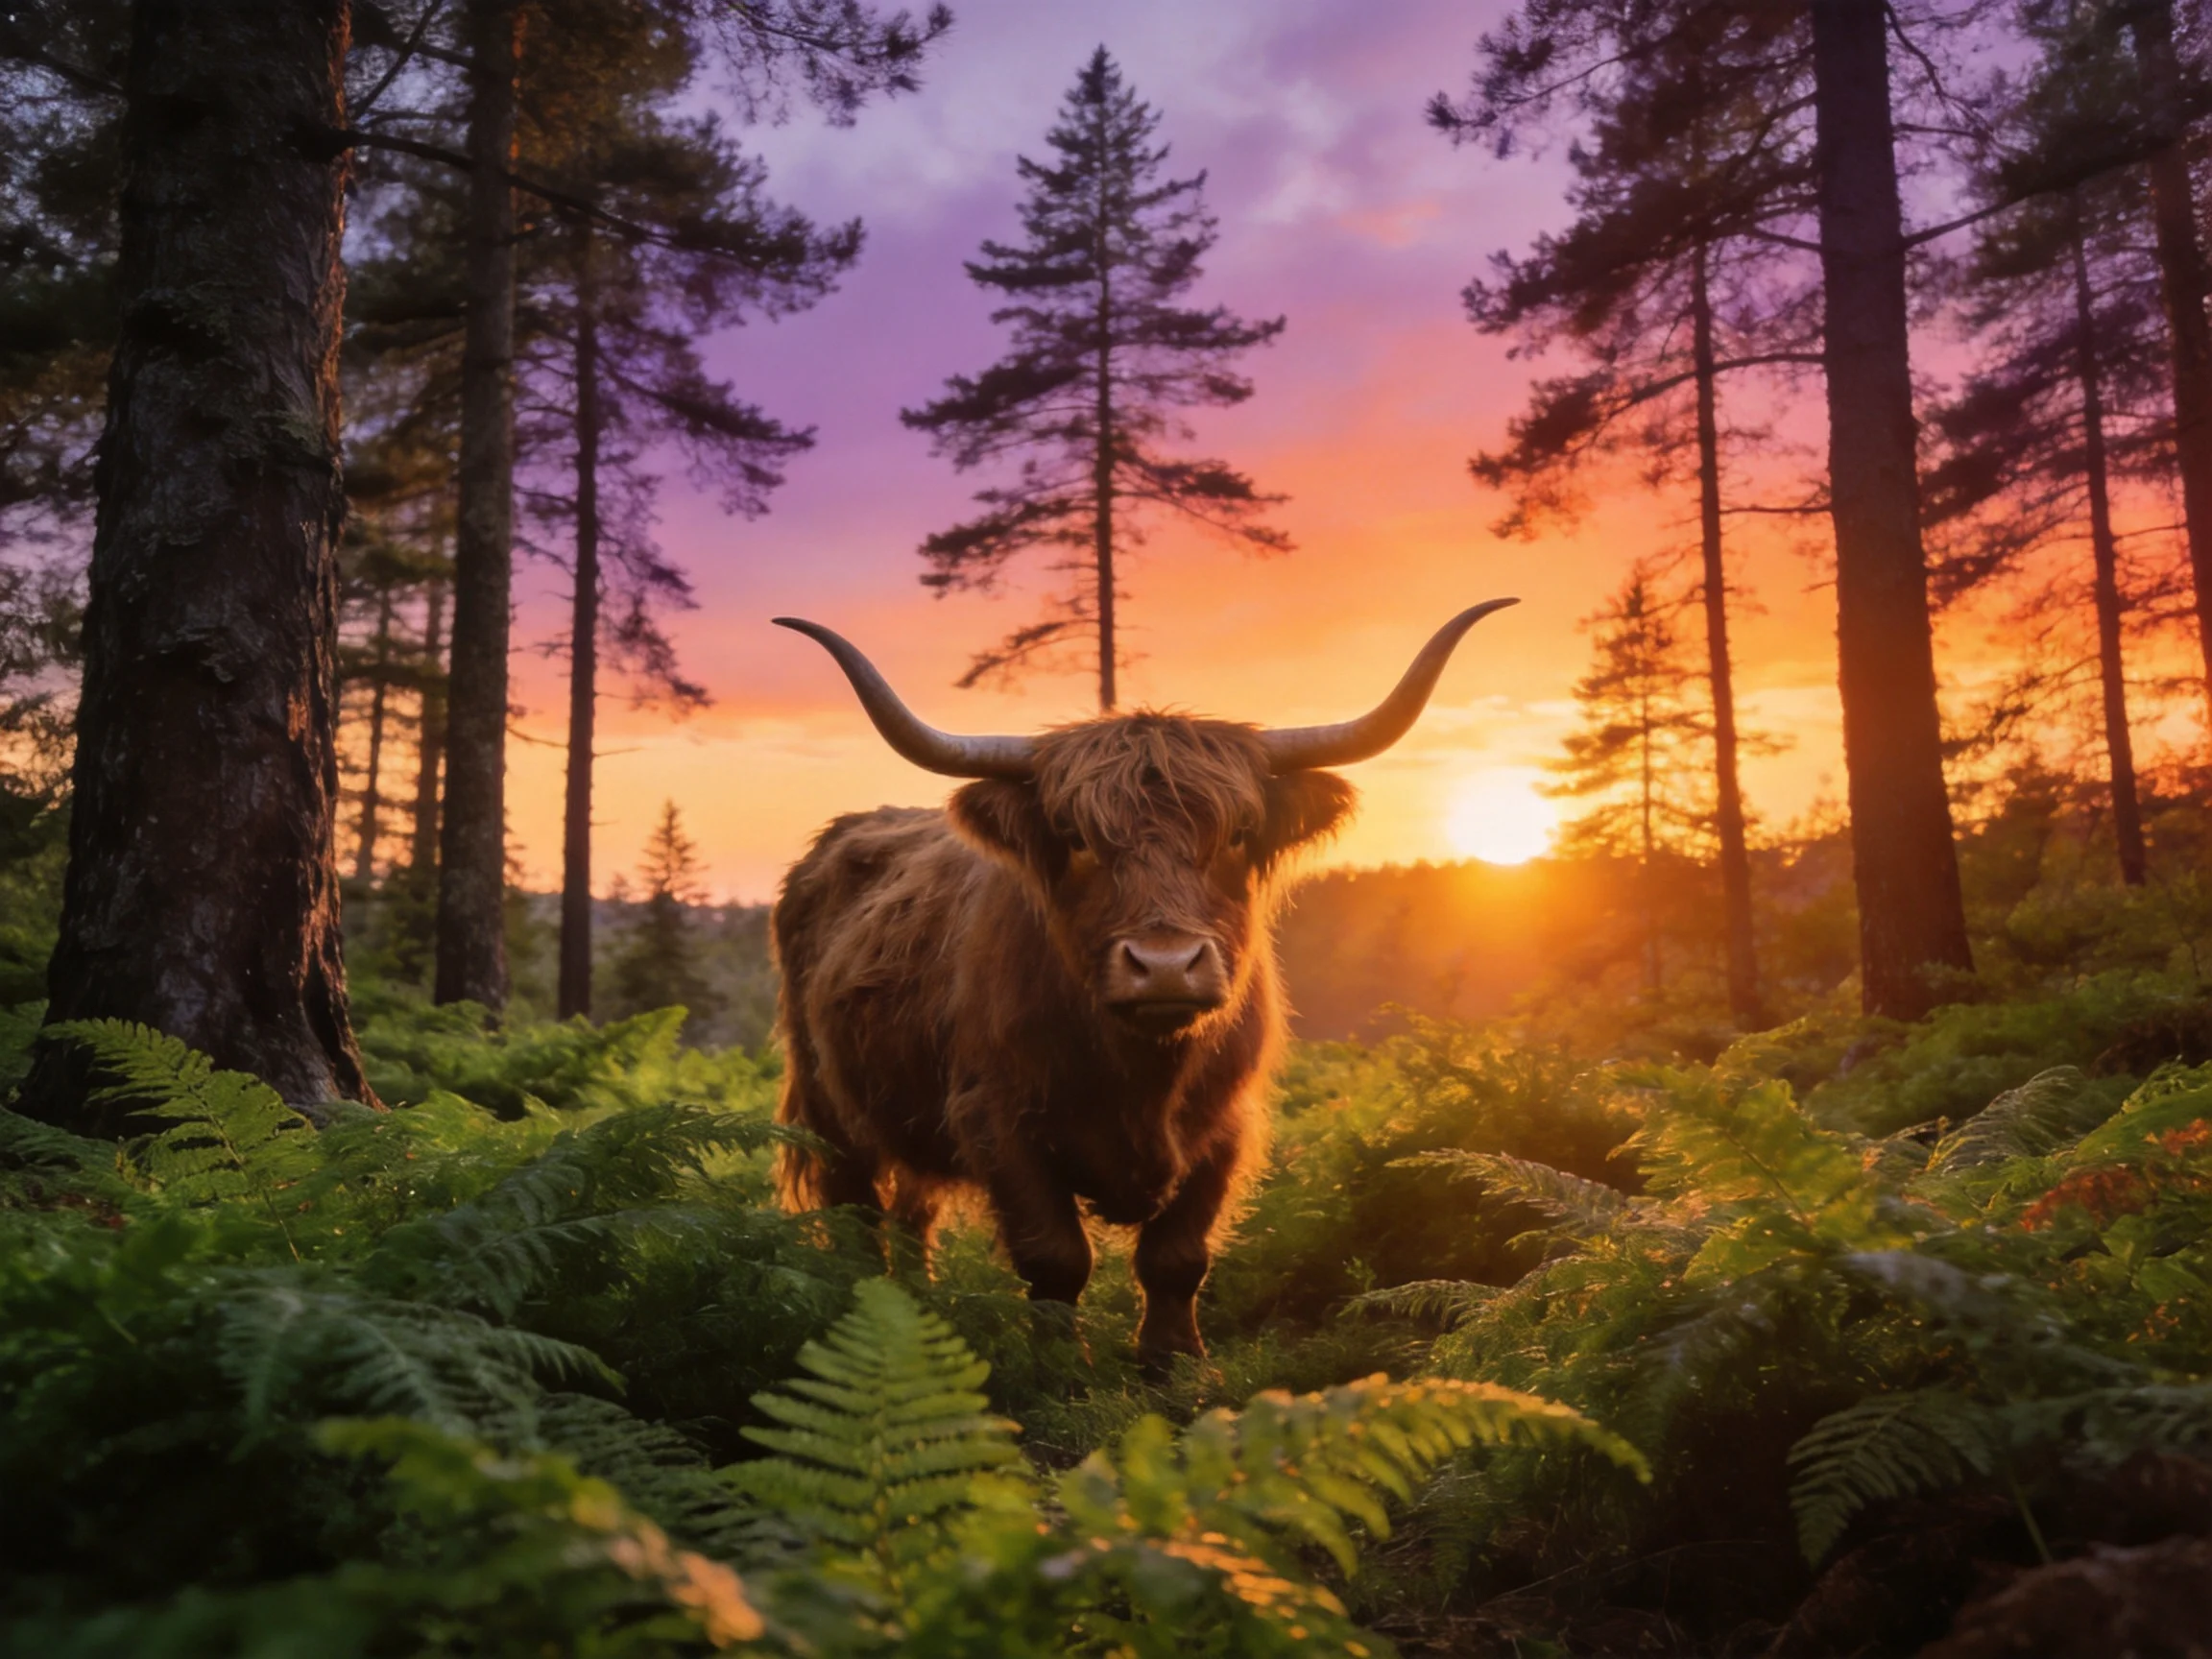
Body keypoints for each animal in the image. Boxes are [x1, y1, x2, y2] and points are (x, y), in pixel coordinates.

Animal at [770, 601, 1516, 1370]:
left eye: (1238, 833)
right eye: (1075, 837)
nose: (1164, 964)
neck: (1143, 1076)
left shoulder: (1226, 1125)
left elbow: (1178, 1257)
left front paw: (1173, 1361)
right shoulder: (999, 1120)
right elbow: (1055, 1256)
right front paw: (1060, 1363)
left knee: (914, 1210)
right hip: (829, 1108)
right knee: (856, 1210)